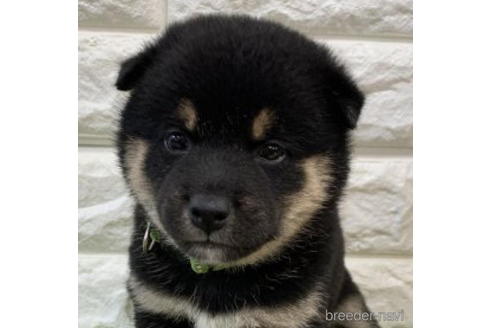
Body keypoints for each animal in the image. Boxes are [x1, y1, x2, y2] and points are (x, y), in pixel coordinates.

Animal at [115, 14, 380, 326]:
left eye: (272, 151)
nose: (208, 212)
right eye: (176, 140)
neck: (216, 279)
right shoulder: (156, 305)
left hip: (354, 309)